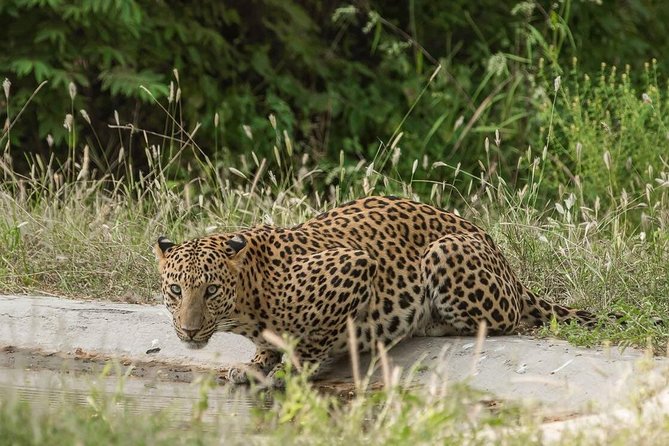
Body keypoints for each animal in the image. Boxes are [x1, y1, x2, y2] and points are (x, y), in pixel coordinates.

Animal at [155, 196, 600, 386]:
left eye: (211, 290)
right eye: (176, 289)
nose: (189, 331)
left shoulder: (354, 265)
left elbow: (315, 340)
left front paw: (294, 368)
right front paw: (256, 364)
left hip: (444, 251)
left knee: (505, 320)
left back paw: (430, 323)